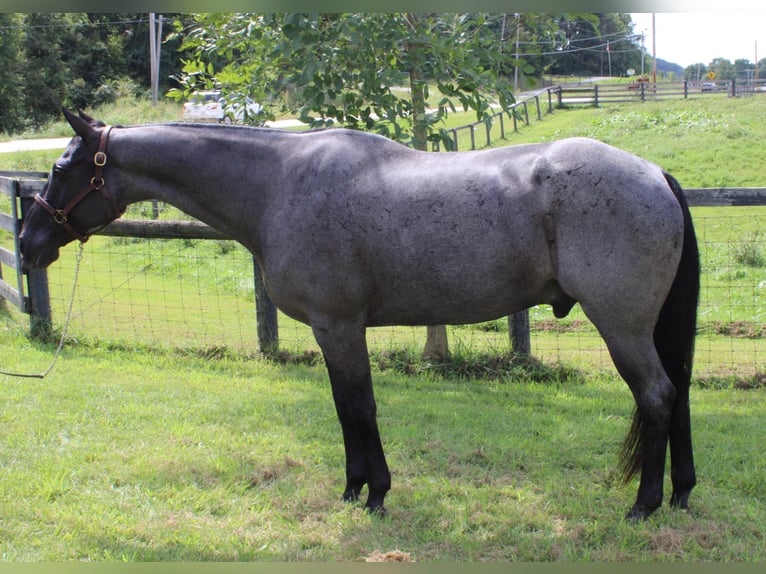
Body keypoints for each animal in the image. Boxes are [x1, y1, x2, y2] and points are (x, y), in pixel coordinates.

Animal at [19, 109, 704, 520]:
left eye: (60, 167)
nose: (27, 244)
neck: (279, 185)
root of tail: (653, 174)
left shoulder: (339, 327)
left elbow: (358, 408)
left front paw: (370, 493)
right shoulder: (335, 332)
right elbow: (346, 408)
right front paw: (359, 490)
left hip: (622, 328)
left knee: (656, 396)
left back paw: (643, 505)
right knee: (677, 395)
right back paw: (680, 494)